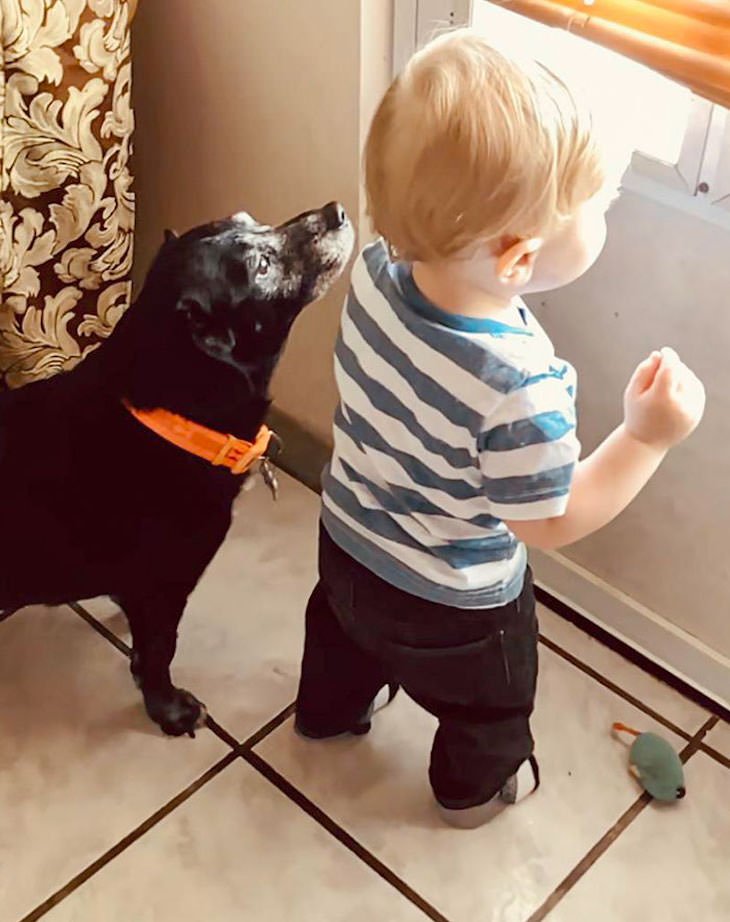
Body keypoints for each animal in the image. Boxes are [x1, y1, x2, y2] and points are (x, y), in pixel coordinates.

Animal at [0, 199, 352, 732]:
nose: (335, 211)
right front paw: (170, 708)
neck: (167, 417)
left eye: (248, 219)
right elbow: (160, 653)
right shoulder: (166, 588)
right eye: (261, 266)